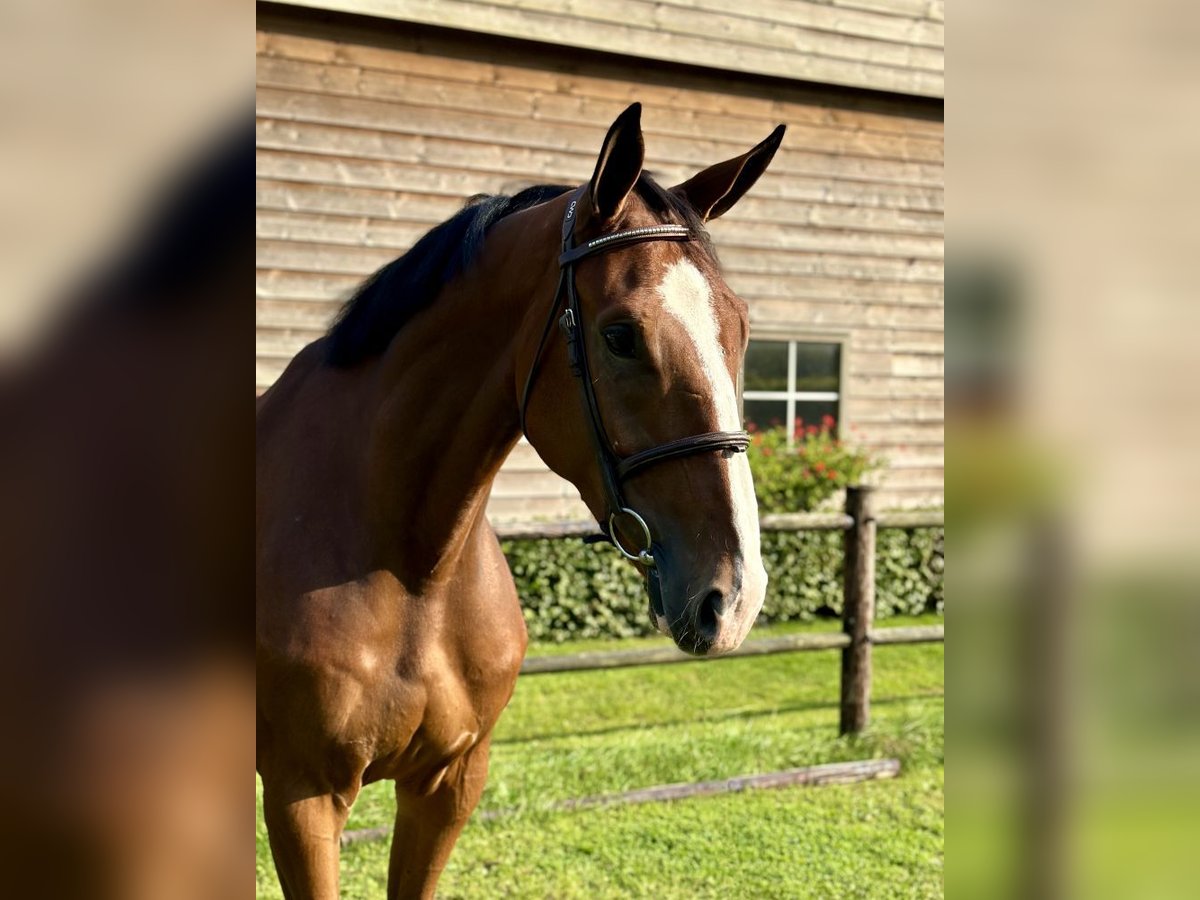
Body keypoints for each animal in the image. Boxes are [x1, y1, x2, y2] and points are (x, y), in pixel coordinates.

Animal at [260, 102, 787, 897]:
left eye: (741, 326)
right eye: (621, 335)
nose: (736, 595)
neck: (411, 570)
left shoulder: (449, 783)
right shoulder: (303, 798)